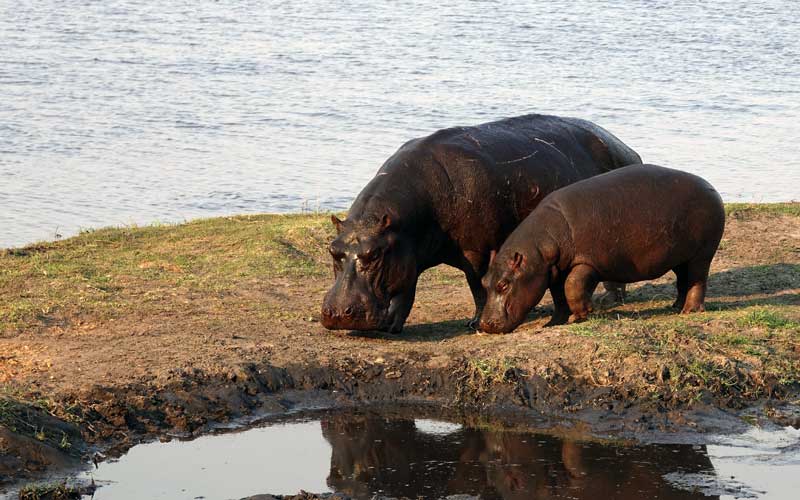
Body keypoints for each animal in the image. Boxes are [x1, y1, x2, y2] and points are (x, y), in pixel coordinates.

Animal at [322, 113, 640, 332]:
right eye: (333, 250)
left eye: (374, 254)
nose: (337, 313)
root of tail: (627, 148)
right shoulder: (407, 255)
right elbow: (406, 288)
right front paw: (393, 326)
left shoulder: (476, 249)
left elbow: (476, 283)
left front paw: (475, 322)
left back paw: (612, 300)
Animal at [478, 166, 728, 334]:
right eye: (484, 281)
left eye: (503, 285)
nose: (484, 324)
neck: (541, 248)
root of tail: (712, 188)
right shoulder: (554, 271)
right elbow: (559, 296)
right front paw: (555, 322)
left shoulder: (585, 263)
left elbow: (572, 287)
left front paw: (582, 315)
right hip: (679, 257)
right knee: (683, 280)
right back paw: (676, 307)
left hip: (701, 255)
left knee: (697, 280)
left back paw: (690, 311)